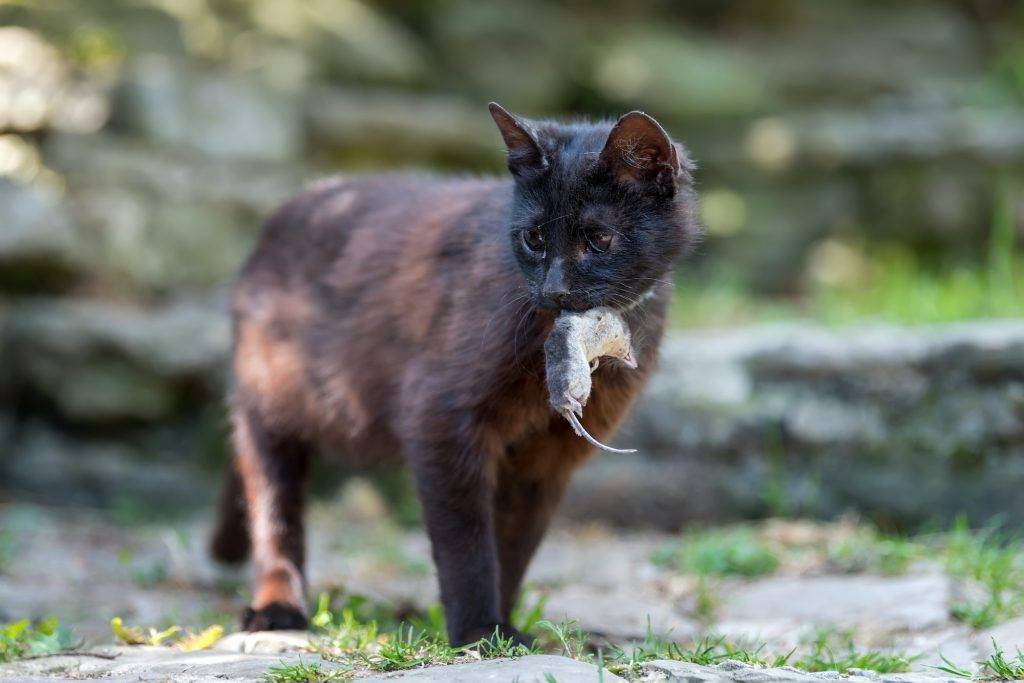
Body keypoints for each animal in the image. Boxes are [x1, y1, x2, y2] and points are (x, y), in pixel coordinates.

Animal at [211, 101, 700, 647]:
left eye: (599, 239)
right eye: (533, 238)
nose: (553, 290)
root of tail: (296, 205)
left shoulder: (544, 459)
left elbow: (514, 546)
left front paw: (504, 628)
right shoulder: (441, 421)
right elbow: (467, 540)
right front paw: (478, 629)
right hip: (271, 407)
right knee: (274, 511)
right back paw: (277, 607)